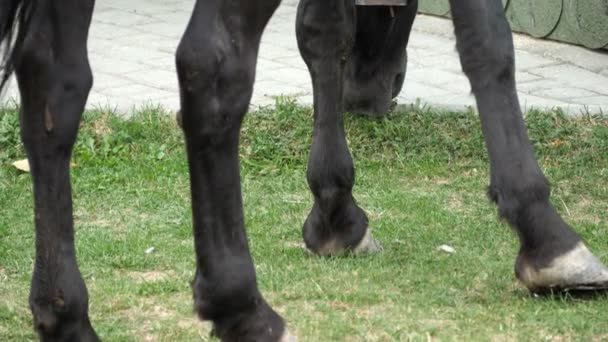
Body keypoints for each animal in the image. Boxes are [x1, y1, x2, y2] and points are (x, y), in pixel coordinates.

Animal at [1, 0, 608, 342]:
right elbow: (487, 37)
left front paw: (335, 208)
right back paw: (245, 311)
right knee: (212, 62)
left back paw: (67, 316)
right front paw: (547, 236)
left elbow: (324, 28)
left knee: (54, 80)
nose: (376, 91)